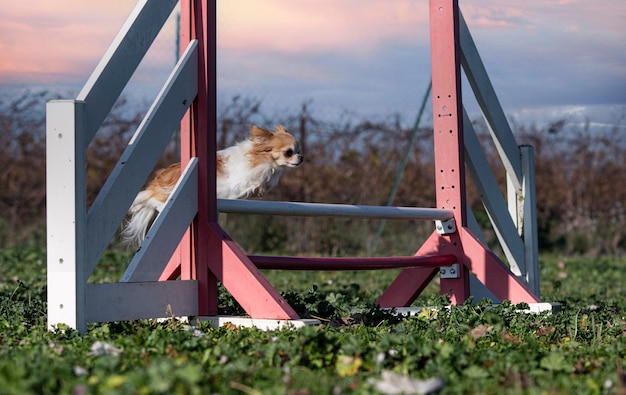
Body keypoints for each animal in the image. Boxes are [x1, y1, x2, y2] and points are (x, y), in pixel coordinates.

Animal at [121, 124, 302, 248]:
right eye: (289, 152)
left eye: (299, 150)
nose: (301, 157)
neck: (261, 158)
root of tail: (158, 180)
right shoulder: (242, 179)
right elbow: (256, 180)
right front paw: (260, 186)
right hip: (164, 196)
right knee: (151, 200)